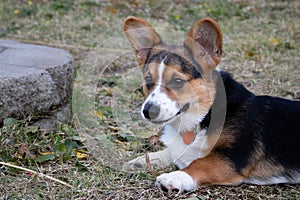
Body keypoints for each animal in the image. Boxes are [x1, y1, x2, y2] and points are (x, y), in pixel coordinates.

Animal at [122, 16, 300, 195]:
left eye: (178, 81)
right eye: (148, 81)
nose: (148, 111)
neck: (203, 116)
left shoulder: (233, 157)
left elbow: (200, 163)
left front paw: (174, 177)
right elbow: (171, 152)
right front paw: (142, 160)